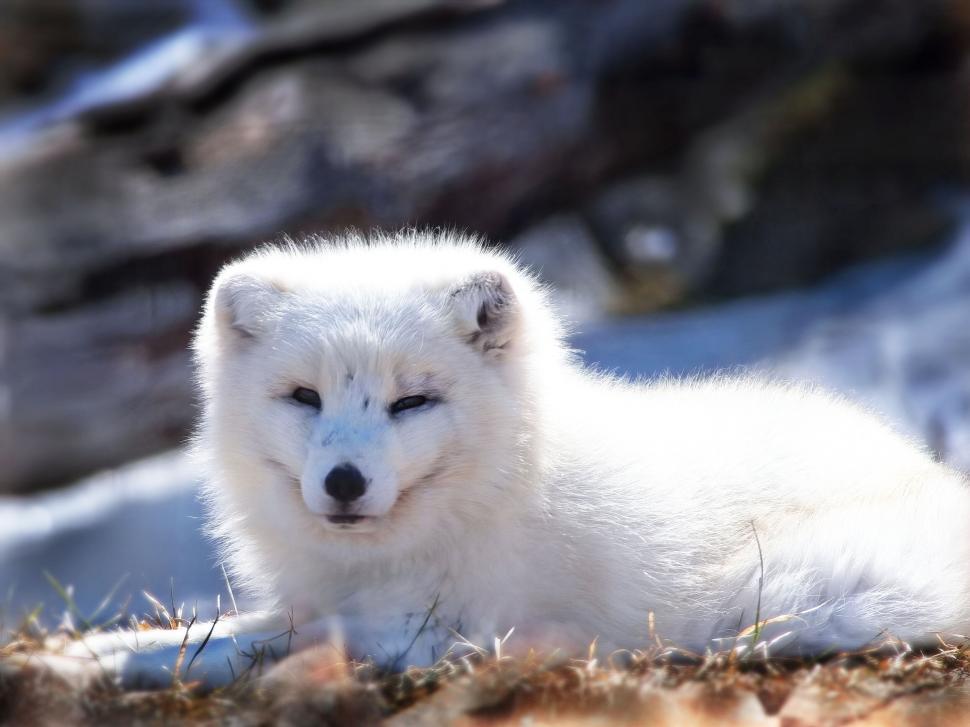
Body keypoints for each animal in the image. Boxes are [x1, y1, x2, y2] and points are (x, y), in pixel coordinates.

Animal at [51, 230, 968, 684]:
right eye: (305, 397)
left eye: (412, 401)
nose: (343, 482)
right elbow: (237, 625)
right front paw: (97, 649)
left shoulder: (441, 628)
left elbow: (273, 640)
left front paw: (109, 660)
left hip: (766, 597)